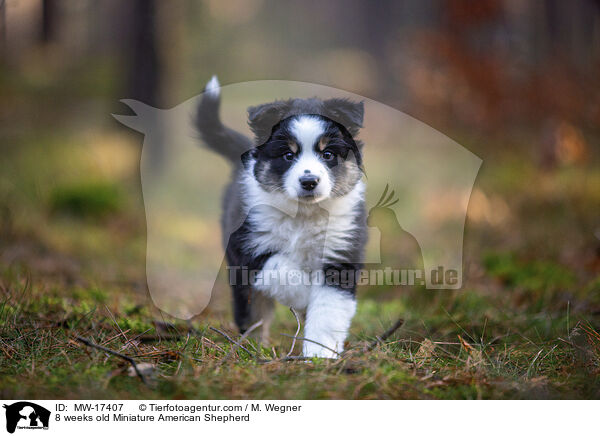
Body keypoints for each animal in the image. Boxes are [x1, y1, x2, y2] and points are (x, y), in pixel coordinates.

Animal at [197, 77, 366, 358]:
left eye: (328, 154)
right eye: (288, 155)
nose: (309, 181)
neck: (303, 215)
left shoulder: (340, 254)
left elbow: (328, 310)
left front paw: (320, 356)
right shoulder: (249, 246)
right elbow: (283, 271)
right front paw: (304, 297)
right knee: (253, 312)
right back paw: (254, 348)